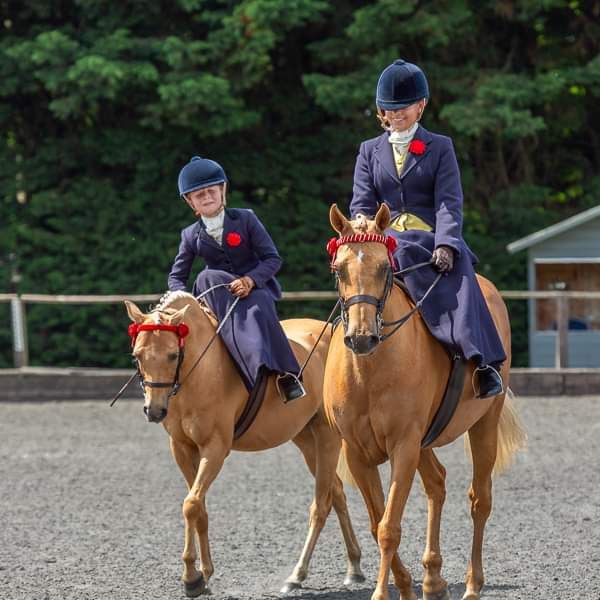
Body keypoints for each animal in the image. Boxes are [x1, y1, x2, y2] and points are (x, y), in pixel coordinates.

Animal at [124, 290, 364, 596]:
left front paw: (191, 578)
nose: (154, 411)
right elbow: (198, 506)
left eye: (173, 354)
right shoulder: (182, 448)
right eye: (137, 356)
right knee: (337, 493)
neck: (201, 371)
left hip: (326, 437)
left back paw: (297, 575)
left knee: (322, 503)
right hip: (305, 439)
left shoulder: (215, 448)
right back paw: (354, 568)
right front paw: (203, 574)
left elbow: (191, 505)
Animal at [324, 205, 524, 600]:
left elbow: (389, 527)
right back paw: (433, 580)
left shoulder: (403, 446)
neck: (369, 371)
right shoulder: (358, 453)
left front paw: (383, 593)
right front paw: (405, 586)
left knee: (480, 500)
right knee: (437, 483)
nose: (361, 338)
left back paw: (472, 585)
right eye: (339, 270)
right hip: (425, 441)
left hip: (483, 424)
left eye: (384, 268)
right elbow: (377, 524)